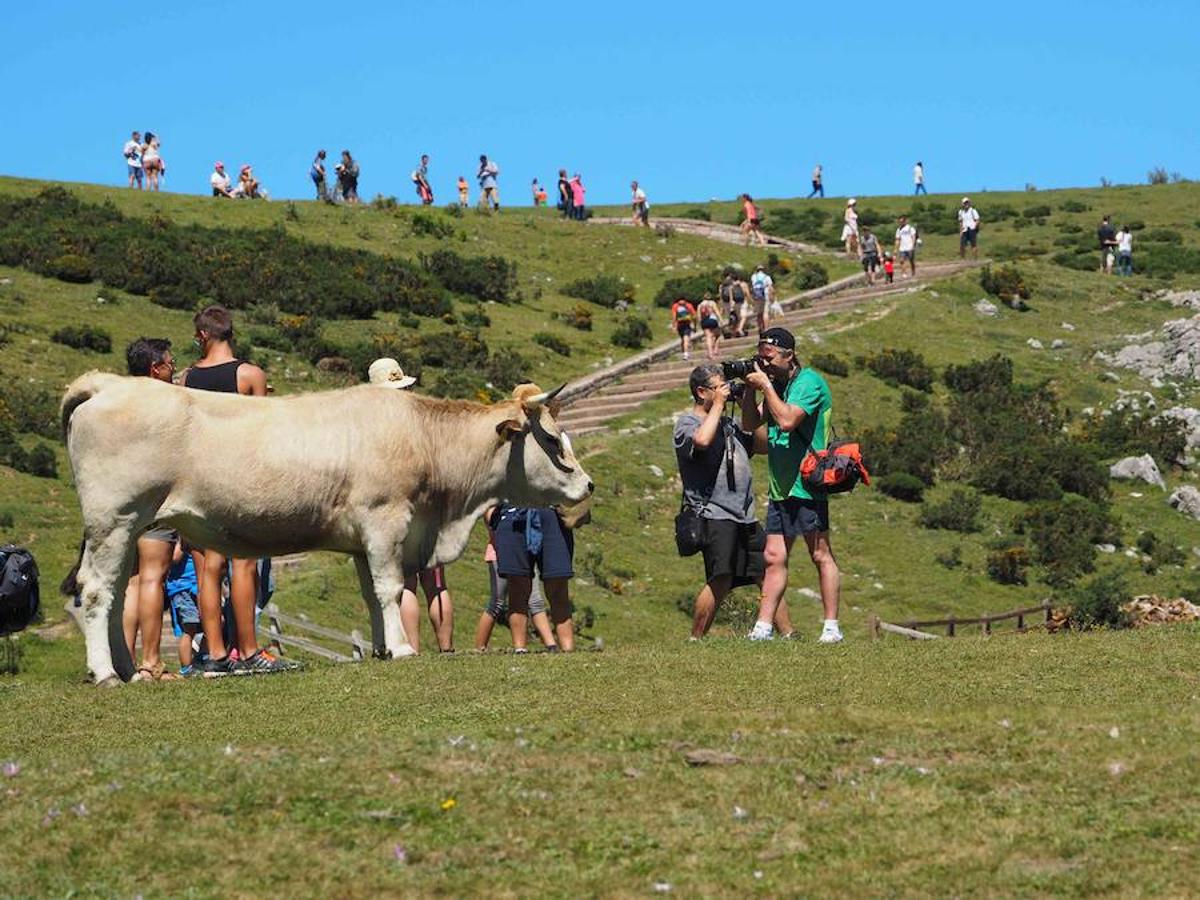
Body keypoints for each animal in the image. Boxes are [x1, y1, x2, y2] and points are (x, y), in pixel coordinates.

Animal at [63, 376, 592, 686]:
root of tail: (106, 383)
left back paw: (129, 671)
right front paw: (403, 648)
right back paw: (106, 673)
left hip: (130, 530)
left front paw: (380, 648)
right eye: (550, 439)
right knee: (96, 592)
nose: (588, 484)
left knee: (115, 596)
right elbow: (390, 588)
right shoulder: (385, 519)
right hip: (115, 519)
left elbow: (371, 593)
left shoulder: (364, 539)